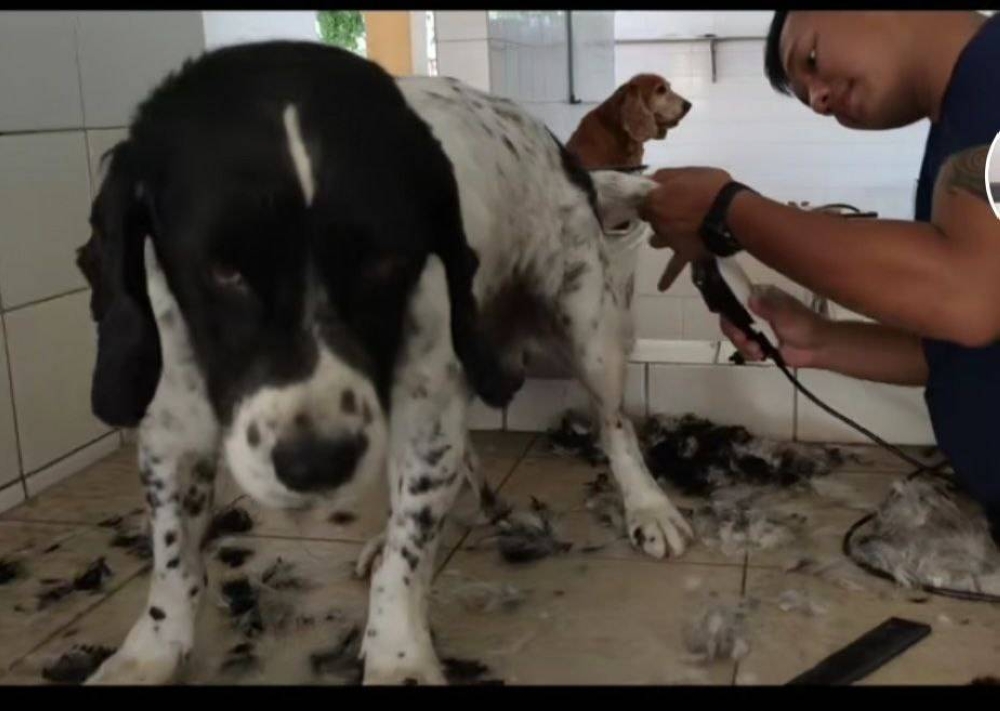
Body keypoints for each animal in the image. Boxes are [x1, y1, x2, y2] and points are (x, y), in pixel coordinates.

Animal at [74, 43, 692, 684]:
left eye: (384, 260)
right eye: (223, 268)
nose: (316, 463)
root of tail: (561, 150)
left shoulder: (426, 421)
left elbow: (407, 557)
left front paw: (399, 657)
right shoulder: (171, 434)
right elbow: (174, 564)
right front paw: (149, 652)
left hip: (590, 330)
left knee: (615, 427)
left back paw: (649, 506)